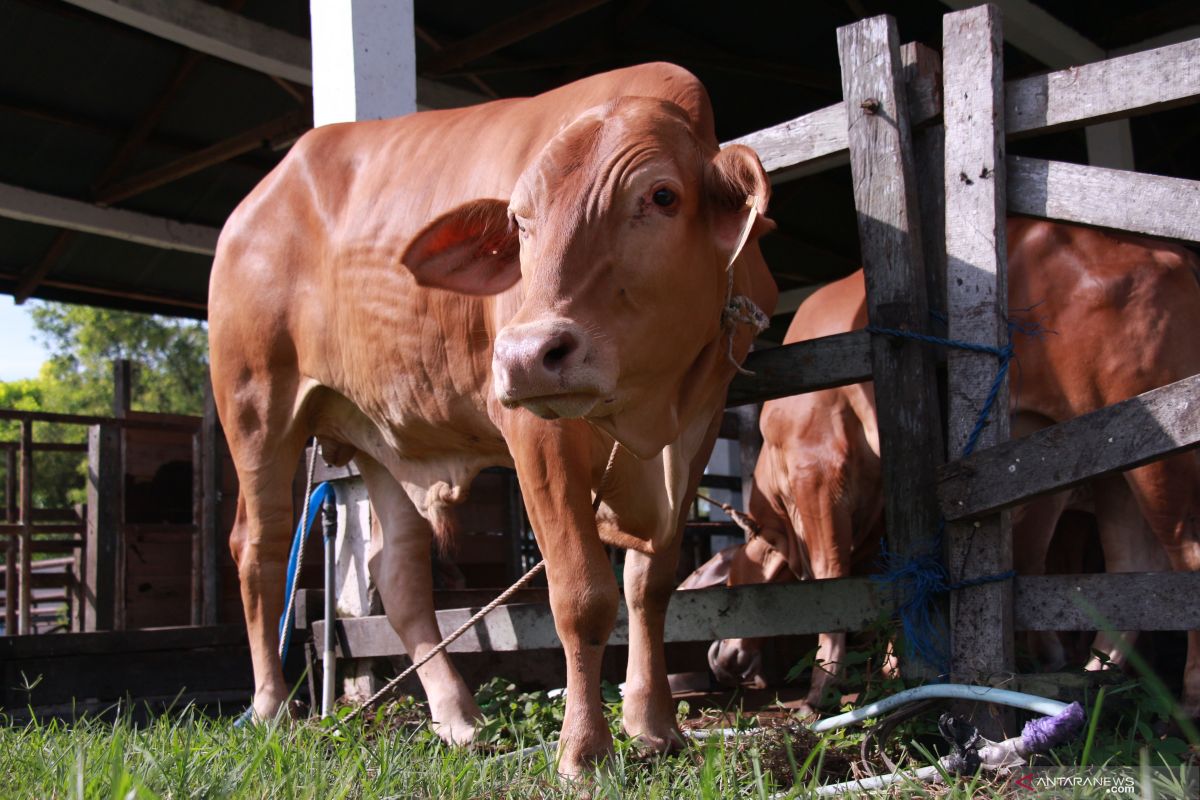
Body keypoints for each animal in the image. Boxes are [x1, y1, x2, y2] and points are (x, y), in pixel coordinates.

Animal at [208, 65, 777, 777]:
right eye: (519, 222)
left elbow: (650, 587)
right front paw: (583, 750)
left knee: (398, 576)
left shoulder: (696, 431)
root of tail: (258, 199)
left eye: (663, 196)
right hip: (256, 406)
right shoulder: (539, 437)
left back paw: (458, 718)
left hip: (380, 441)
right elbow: (583, 596)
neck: (651, 410)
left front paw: (655, 727)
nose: (525, 354)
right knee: (259, 547)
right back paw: (271, 708)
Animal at [691, 217, 1195, 714]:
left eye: (719, 571)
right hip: (1106, 461)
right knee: (1131, 569)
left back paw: (1186, 699)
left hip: (1160, 447)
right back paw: (1095, 680)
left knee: (1184, 555)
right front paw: (889, 672)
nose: (717, 658)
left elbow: (829, 577)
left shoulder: (816, 470)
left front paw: (822, 690)